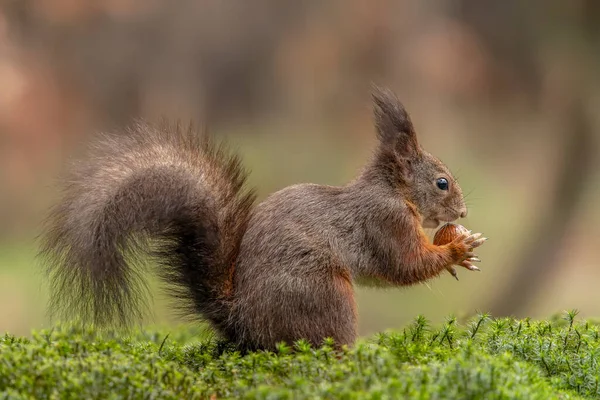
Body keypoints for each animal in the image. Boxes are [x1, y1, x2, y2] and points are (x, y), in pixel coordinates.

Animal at [39, 86, 486, 350]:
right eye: (442, 183)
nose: (463, 212)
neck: (394, 191)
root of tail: (244, 322)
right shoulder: (384, 222)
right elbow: (404, 265)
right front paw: (457, 248)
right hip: (325, 294)